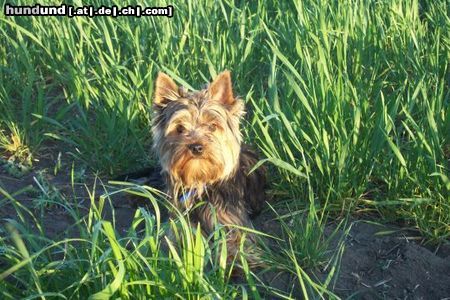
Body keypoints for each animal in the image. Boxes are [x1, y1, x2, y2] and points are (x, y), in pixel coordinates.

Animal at [152, 71, 264, 264]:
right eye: (180, 128)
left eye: (212, 126)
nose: (196, 146)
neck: (200, 180)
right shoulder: (180, 220)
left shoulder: (231, 221)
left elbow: (236, 242)